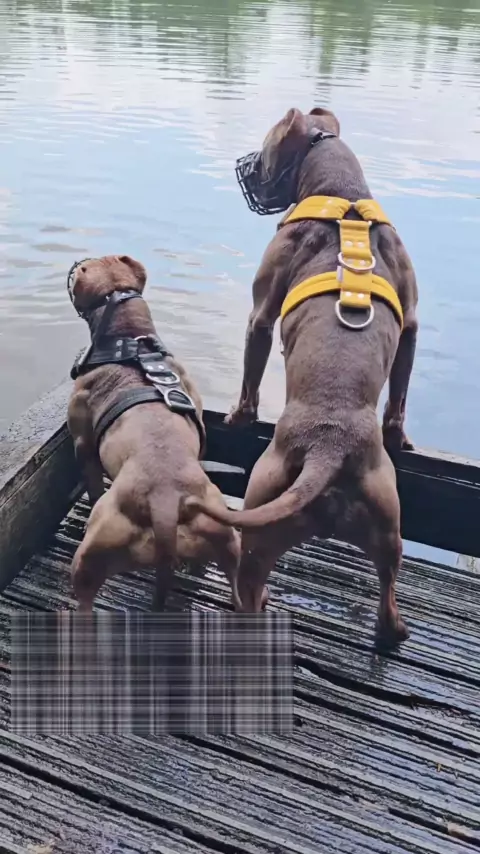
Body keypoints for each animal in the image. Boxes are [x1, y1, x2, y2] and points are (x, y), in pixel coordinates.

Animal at [66, 255, 241, 612]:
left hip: (90, 559)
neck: (133, 344)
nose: (76, 263)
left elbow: (92, 485)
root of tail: (166, 502)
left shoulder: (83, 444)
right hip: (228, 543)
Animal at [185, 107, 418, 647]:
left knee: (249, 586)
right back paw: (392, 631)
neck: (345, 197)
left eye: (265, 148)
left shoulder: (261, 312)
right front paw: (400, 435)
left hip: (261, 511)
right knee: (389, 593)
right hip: (388, 523)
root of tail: (327, 449)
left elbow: (251, 370)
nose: (245, 165)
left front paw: (240, 416)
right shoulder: (413, 321)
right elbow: (399, 393)